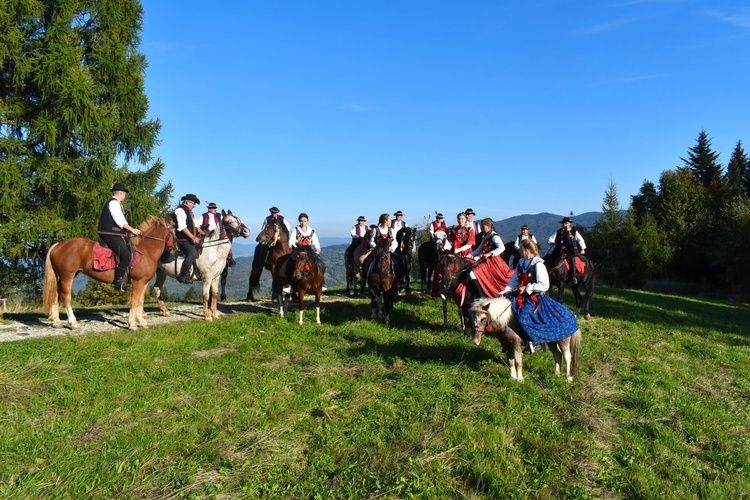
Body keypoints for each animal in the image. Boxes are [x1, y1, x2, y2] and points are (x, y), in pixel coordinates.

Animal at [43, 216, 175, 330]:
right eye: (174, 229)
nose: (173, 250)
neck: (146, 250)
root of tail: (58, 245)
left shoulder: (144, 283)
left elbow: (140, 302)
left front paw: (142, 322)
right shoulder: (138, 282)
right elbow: (134, 302)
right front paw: (132, 324)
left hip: (65, 276)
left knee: (55, 294)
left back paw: (56, 321)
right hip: (67, 276)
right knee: (66, 297)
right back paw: (73, 323)